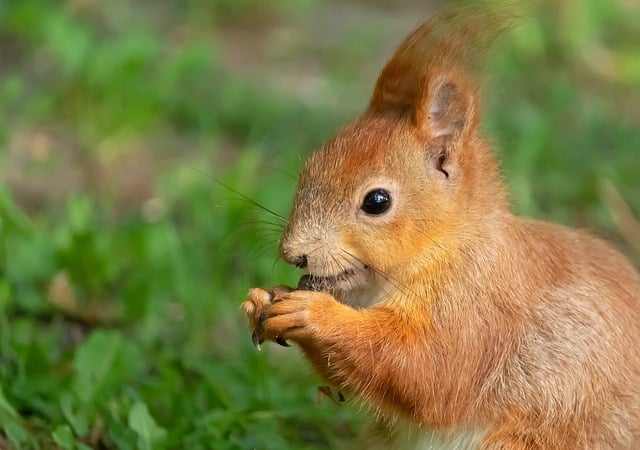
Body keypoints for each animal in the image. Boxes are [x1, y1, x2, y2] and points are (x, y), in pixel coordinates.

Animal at [240, 5, 640, 448]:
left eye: (377, 202)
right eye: (309, 167)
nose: (293, 254)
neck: (445, 245)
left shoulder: (479, 309)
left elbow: (429, 372)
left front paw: (313, 313)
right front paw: (264, 298)